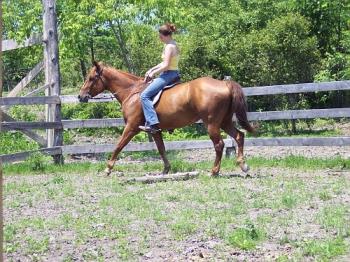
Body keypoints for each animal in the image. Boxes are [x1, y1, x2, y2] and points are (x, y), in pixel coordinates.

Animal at [78, 61, 254, 176]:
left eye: (91, 78)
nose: (80, 96)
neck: (132, 92)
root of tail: (225, 84)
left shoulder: (132, 127)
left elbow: (118, 146)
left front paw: (108, 168)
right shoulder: (155, 130)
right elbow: (161, 149)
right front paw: (166, 169)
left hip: (212, 123)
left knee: (219, 144)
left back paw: (214, 171)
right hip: (224, 121)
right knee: (239, 136)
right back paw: (243, 165)